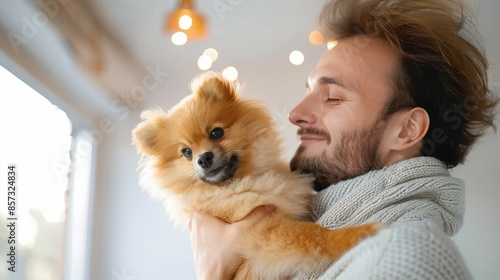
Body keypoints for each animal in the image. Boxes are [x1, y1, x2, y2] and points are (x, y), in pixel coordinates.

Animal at [131, 72, 380, 280]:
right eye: (186, 152)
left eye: (216, 133)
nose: (203, 158)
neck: (238, 185)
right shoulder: (261, 232)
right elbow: (312, 234)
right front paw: (353, 235)